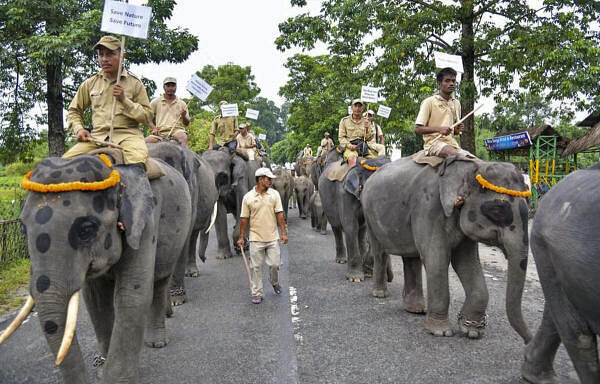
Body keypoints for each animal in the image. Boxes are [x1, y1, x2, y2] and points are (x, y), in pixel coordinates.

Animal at [0, 154, 192, 382]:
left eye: (86, 229)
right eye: (22, 228)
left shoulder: (146, 225)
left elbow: (132, 296)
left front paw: (114, 379)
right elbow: (95, 300)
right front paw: (101, 368)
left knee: (160, 279)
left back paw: (156, 342)